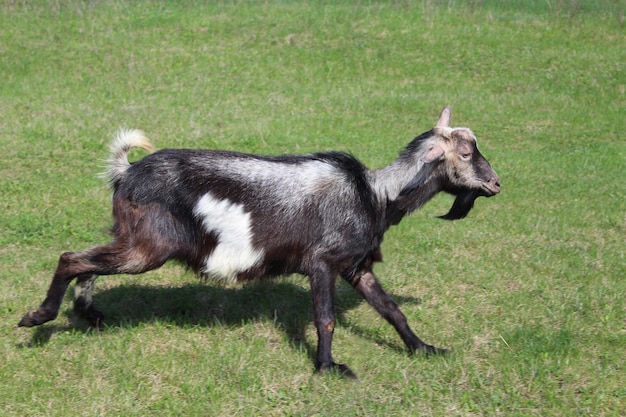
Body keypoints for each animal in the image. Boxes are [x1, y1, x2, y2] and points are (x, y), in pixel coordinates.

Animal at [17, 105, 500, 376]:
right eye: (465, 152)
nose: (496, 183)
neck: (375, 193)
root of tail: (125, 172)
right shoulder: (323, 262)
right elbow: (325, 318)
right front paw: (329, 368)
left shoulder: (356, 266)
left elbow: (392, 310)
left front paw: (424, 349)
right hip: (147, 248)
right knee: (71, 257)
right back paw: (39, 317)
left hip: (131, 239)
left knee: (90, 259)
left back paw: (89, 314)